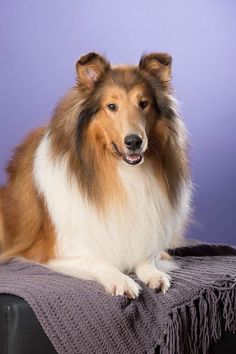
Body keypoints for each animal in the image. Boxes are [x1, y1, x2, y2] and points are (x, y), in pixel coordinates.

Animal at [0, 52, 192, 298]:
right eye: (111, 106)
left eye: (143, 103)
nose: (134, 142)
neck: (119, 172)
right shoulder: (56, 251)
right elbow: (98, 260)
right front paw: (121, 280)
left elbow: (146, 256)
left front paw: (154, 274)